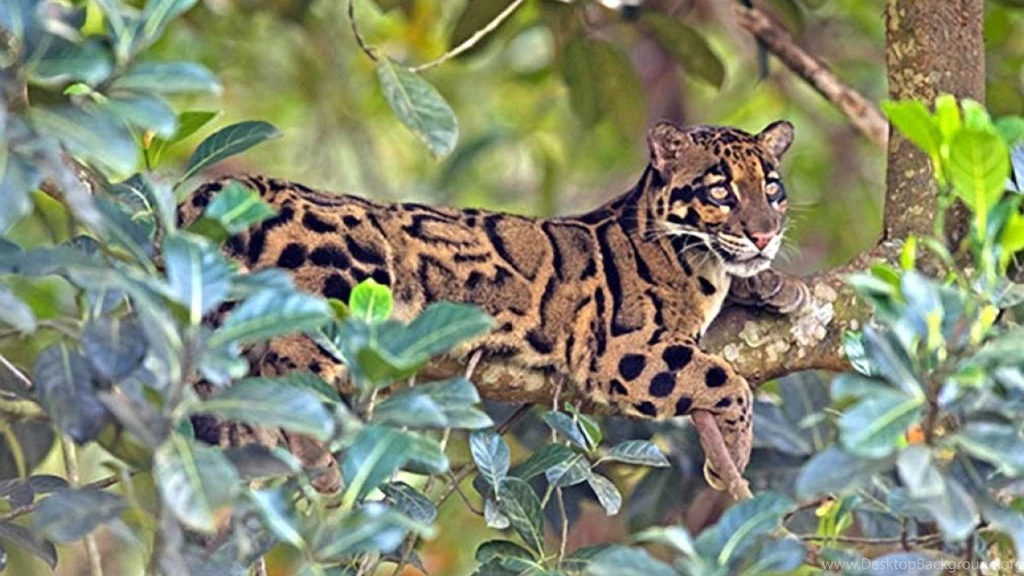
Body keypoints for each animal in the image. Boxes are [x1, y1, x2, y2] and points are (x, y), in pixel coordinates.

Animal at [179, 120, 810, 493]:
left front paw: (778, 284)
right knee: (287, 360)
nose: (764, 232)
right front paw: (734, 454)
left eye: (772, 189)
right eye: (719, 190)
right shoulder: (621, 350)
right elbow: (728, 380)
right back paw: (311, 456)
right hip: (345, 277)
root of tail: (249, 184)